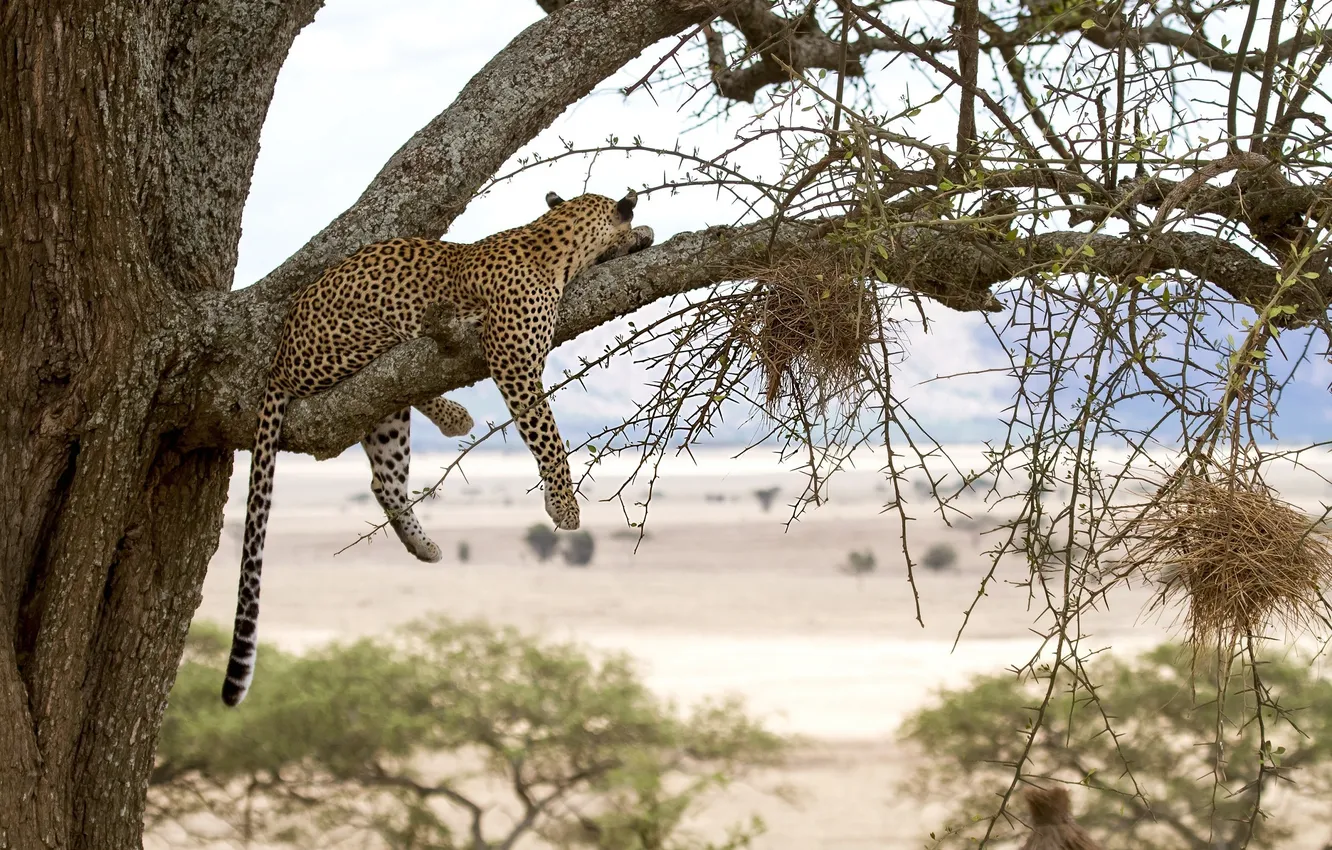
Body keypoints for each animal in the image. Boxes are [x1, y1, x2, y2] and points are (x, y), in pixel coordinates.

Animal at [223, 189, 653, 706]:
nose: (641, 230)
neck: (548, 239)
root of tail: (278, 358)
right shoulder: (514, 363)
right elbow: (545, 433)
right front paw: (564, 505)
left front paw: (643, 235)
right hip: (369, 334)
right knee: (404, 369)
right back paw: (454, 418)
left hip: (383, 417)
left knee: (384, 477)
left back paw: (423, 546)